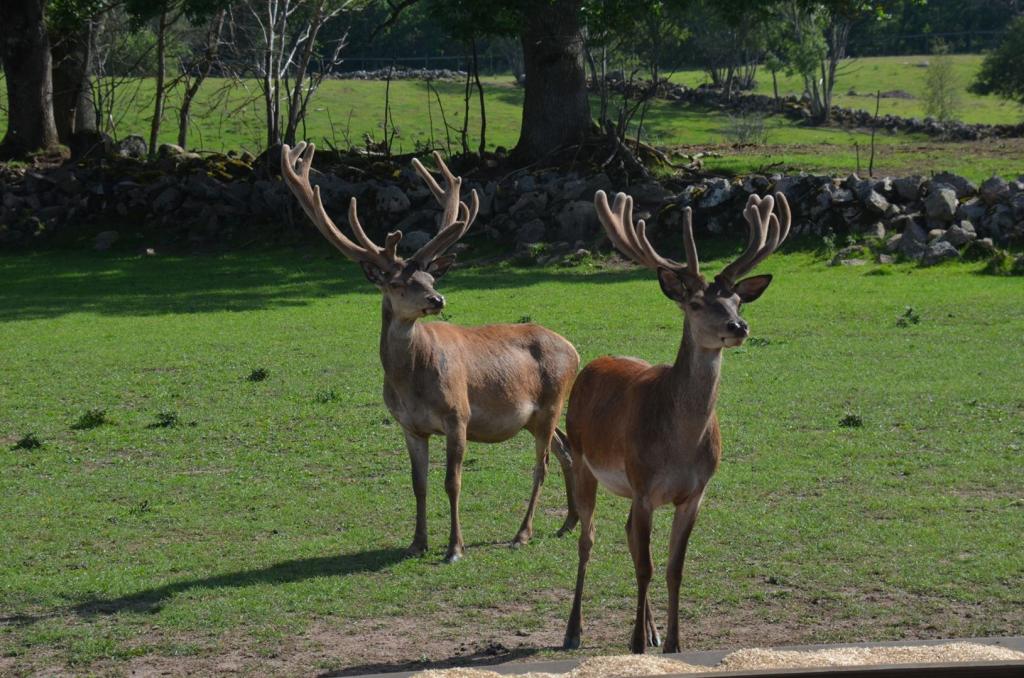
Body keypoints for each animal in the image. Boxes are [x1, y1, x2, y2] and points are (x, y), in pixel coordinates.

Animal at [280, 142, 581, 561]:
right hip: (536, 417)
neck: (411, 384)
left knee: (544, 465)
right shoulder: (409, 426)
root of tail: (575, 350)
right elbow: (417, 483)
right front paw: (417, 543)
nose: (437, 300)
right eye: (396, 282)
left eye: (429, 277)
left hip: (552, 402)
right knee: (567, 449)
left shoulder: (459, 415)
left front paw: (454, 547)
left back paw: (523, 533)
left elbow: (452, 482)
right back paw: (568, 522)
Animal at [561, 189, 790, 655]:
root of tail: (593, 362)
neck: (679, 446)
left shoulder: (694, 494)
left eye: (737, 300)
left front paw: (671, 644)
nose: (738, 326)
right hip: (581, 457)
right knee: (588, 539)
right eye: (696, 303)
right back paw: (573, 631)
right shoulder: (645, 488)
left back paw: (649, 628)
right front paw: (635, 645)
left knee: (626, 534)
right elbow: (646, 567)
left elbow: (673, 567)